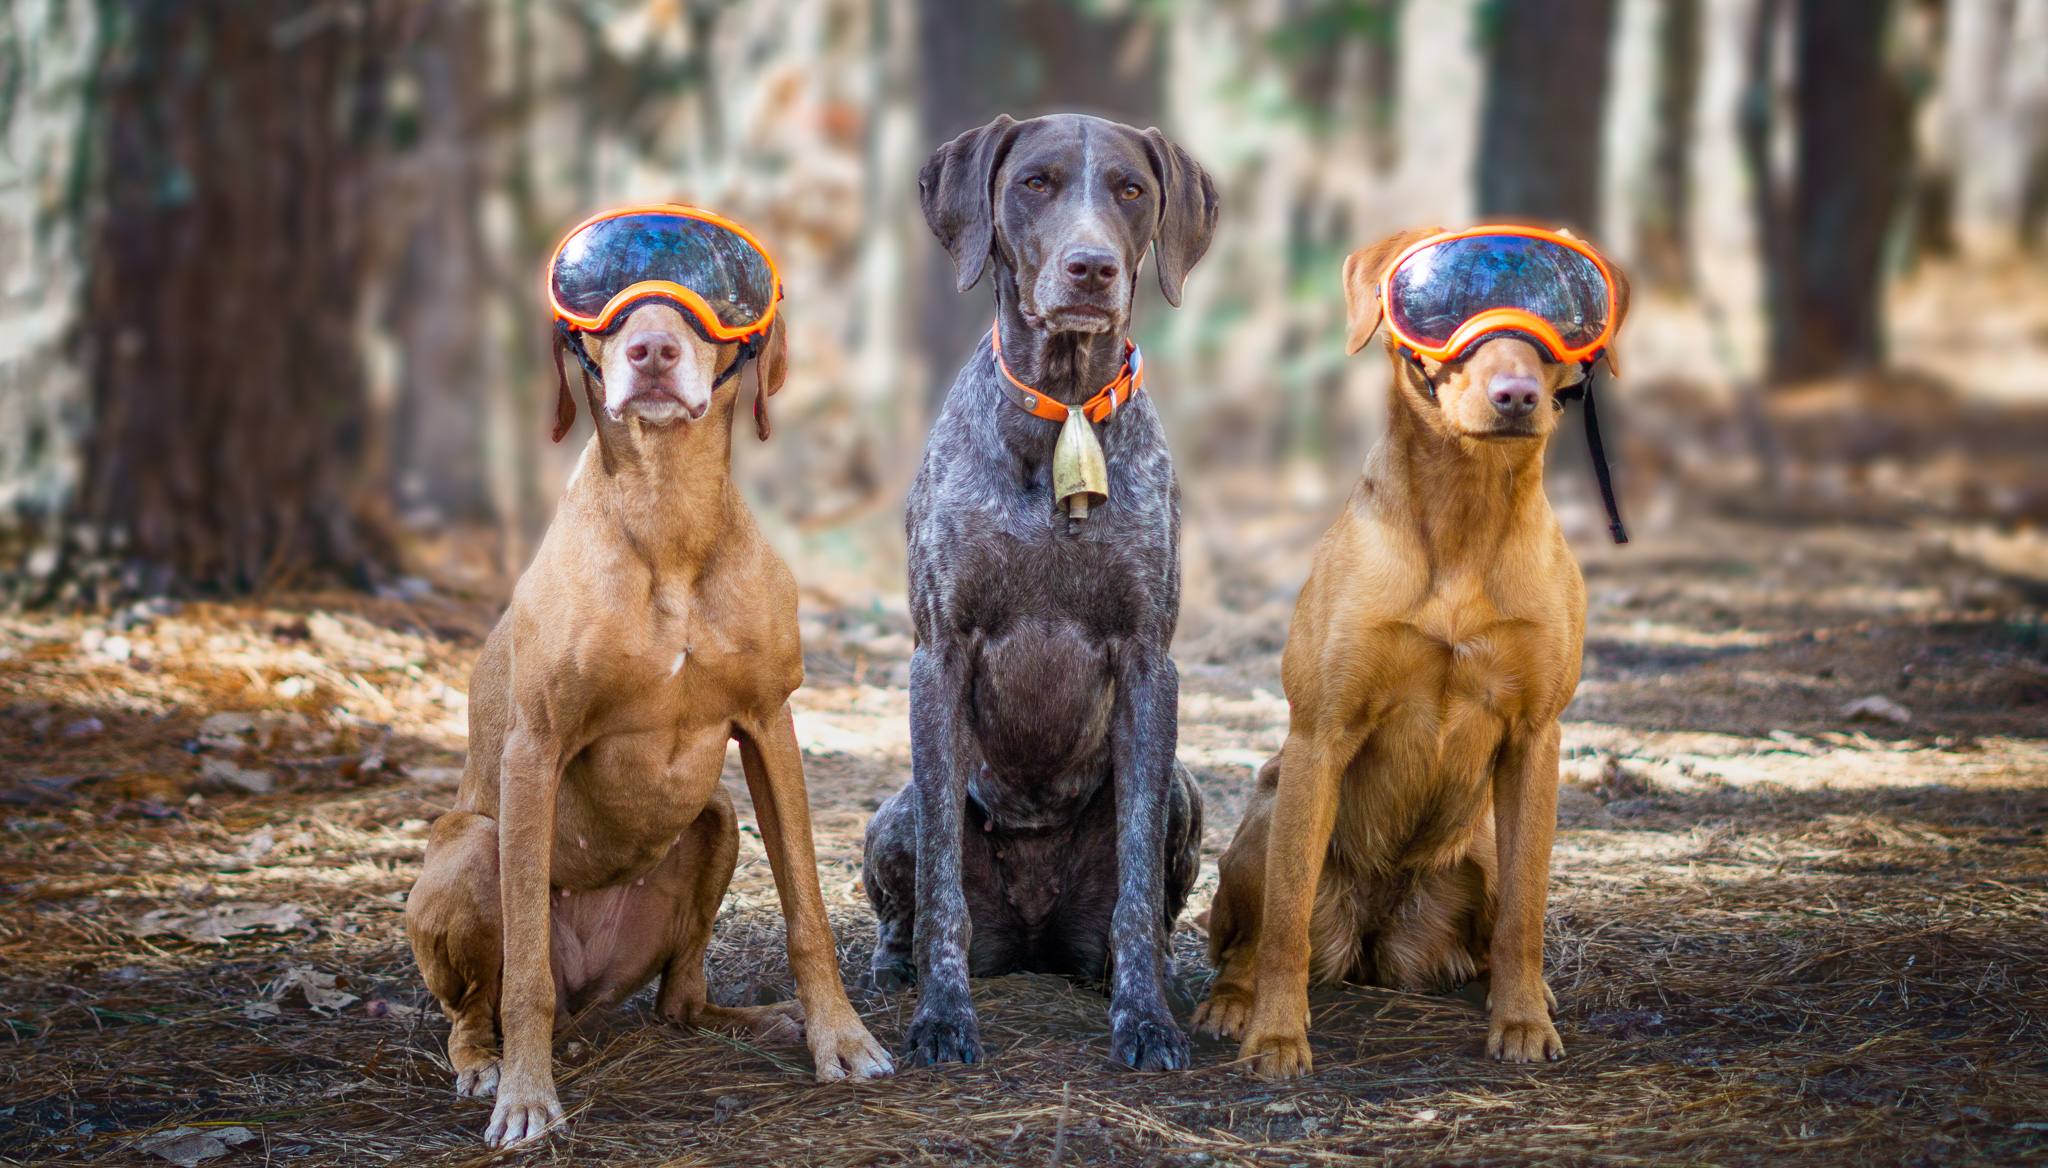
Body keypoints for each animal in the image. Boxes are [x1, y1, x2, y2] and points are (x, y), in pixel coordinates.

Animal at [409, 295, 897, 1139]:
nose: (653, 353)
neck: (668, 510)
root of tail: (588, 996)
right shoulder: (534, 749)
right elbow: (525, 973)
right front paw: (527, 1098)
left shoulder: (770, 723)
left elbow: (807, 912)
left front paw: (841, 1038)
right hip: (472, 848)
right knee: (477, 1008)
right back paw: (487, 1065)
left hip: (715, 820)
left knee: (679, 1000)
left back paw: (759, 1019)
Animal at [860, 113, 1212, 1065]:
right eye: (1036, 183)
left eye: (1130, 188)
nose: (1090, 268)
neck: (1065, 410)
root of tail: (1033, 938)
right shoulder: (938, 657)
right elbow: (941, 890)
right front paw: (942, 1017)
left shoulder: (1148, 664)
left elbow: (1137, 891)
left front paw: (1145, 1016)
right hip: (892, 815)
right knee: (907, 898)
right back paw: (894, 968)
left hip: (1185, 793)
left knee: (1150, 905)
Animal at [1196, 225, 1622, 1073]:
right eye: (1441, 309)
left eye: (1563, 316)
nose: (1516, 396)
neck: (1464, 513)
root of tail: (1375, 938)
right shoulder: (1319, 733)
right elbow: (1285, 923)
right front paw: (1277, 1034)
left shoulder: (1536, 740)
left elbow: (1527, 911)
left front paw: (1522, 1021)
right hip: (1268, 811)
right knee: (1252, 938)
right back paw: (1234, 1001)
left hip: (1480, 850)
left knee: (1497, 922)